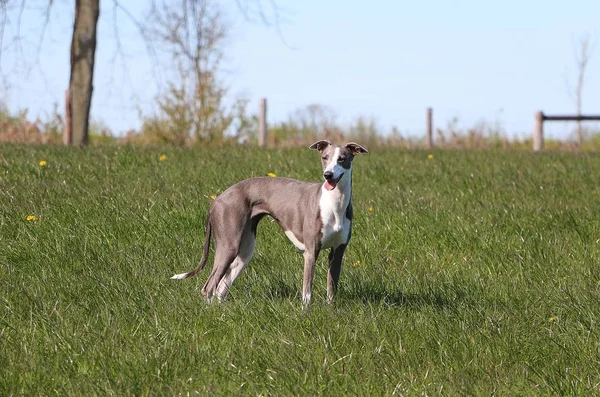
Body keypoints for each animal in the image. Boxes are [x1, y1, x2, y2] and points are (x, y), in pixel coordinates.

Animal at [171, 141, 368, 304]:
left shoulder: (338, 251)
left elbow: (331, 289)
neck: (334, 204)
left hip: (245, 250)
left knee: (221, 288)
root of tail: (217, 200)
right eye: (324, 157)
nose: (328, 175)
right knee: (209, 287)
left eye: (342, 159)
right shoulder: (311, 251)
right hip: (229, 245)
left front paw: (330, 311)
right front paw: (306, 313)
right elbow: (307, 291)